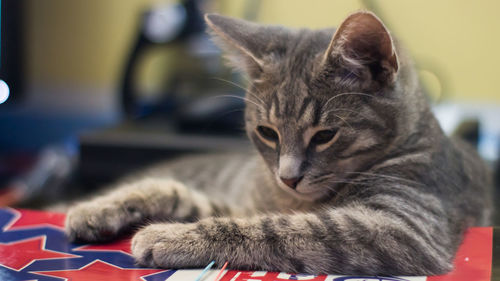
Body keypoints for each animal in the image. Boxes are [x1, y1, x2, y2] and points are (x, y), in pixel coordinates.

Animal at [65, 12, 492, 274]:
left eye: (325, 136)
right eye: (267, 132)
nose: (288, 178)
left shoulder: (401, 228)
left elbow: (270, 229)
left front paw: (169, 236)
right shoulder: (248, 202)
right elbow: (181, 195)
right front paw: (99, 207)